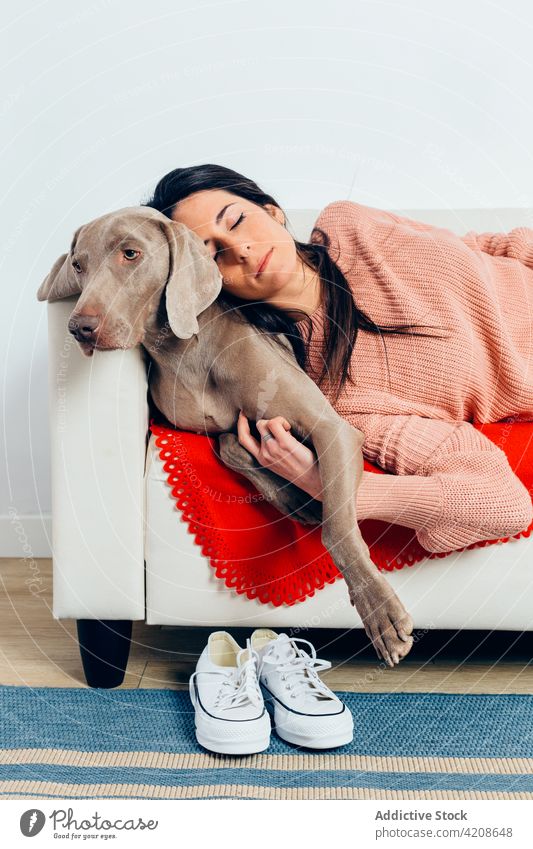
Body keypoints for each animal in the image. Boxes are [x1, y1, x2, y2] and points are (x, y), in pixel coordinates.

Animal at [38, 204, 416, 664]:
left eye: (130, 254)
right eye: (78, 265)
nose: (79, 327)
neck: (181, 348)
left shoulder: (333, 428)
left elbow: (336, 529)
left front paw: (380, 614)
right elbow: (230, 446)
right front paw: (295, 499)